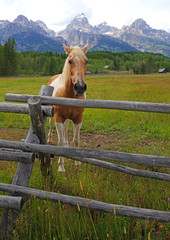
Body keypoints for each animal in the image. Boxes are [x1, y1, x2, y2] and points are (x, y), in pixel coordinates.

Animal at [47, 43, 88, 172]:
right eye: (70, 61)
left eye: (86, 61)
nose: (80, 87)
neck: (69, 94)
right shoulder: (58, 118)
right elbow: (60, 142)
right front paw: (61, 167)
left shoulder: (78, 119)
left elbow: (76, 140)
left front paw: (77, 162)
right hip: (52, 116)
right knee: (51, 127)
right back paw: (49, 140)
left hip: (68, 119)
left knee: (65, 130)